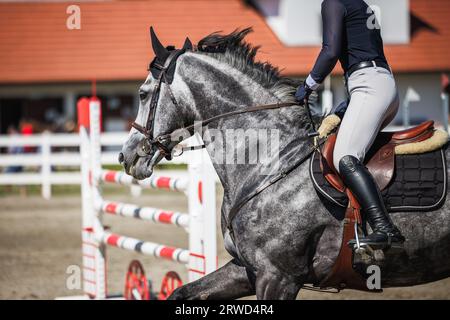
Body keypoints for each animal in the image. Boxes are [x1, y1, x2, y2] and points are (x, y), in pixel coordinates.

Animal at [119, 28, 450, 298]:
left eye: (143, 94)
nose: (127, 156)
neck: (269, 159)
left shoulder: (277, 277)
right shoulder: (247, 269)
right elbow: (183, 292)